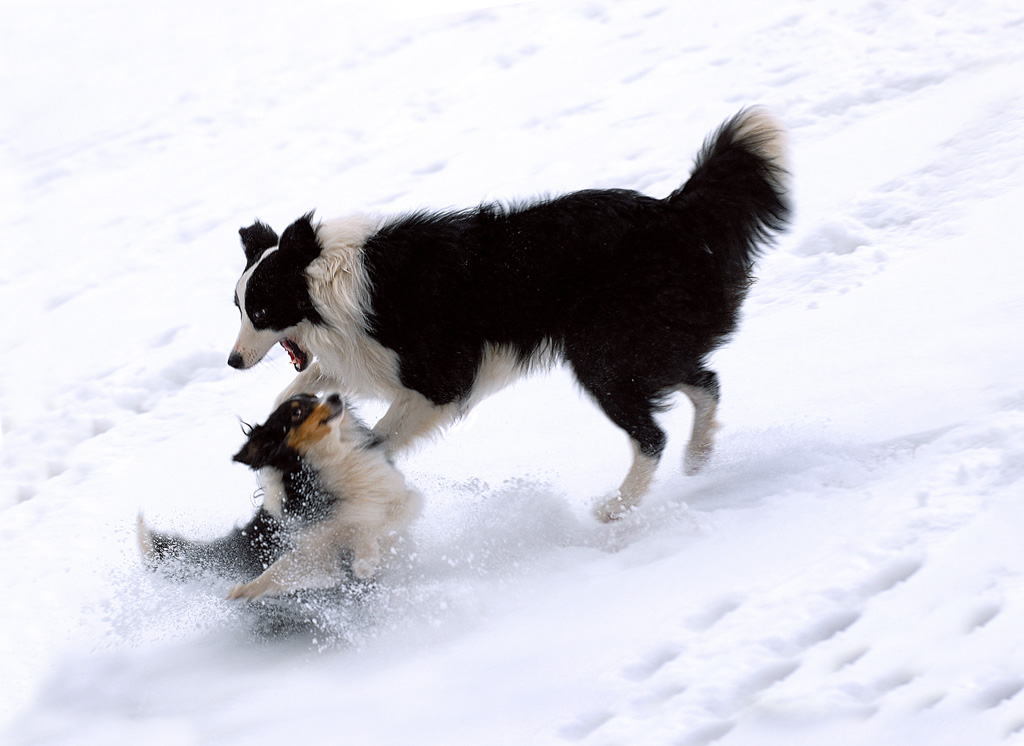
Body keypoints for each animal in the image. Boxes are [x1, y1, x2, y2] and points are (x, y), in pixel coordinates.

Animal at [139, 390, 419, 597]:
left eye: (314, 396)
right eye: (296, 412)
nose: (335, 395)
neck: (329, 458)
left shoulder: (399, 501)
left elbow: (364, 525)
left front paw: (364, 561)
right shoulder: (316, 553)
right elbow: (282, 570)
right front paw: (246, 590)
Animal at [230, 108, 790, 517]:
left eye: (259, 308)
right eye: (237, 305)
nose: (233, 361)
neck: (326, 282)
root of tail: (673, 211)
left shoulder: (439, 381)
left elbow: (380, 437)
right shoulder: (362, 361)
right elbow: (298, 391)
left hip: (602, 353)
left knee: (653, 434)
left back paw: (615, 509)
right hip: (643, 344)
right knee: (705, 381)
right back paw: (698, 457)